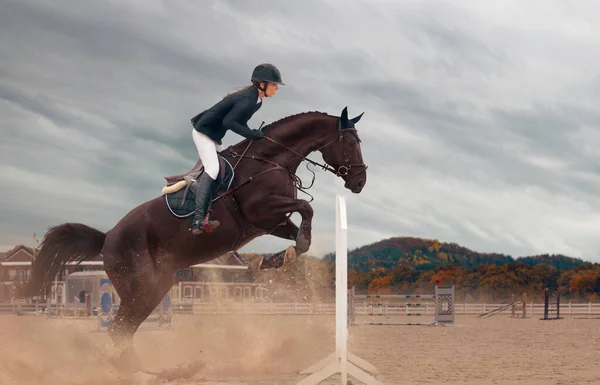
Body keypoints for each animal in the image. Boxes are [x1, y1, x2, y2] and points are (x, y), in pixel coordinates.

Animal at [16, 106, 368, 344]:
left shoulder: (269, 222)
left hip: (151, 289)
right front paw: (292, 250)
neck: (271, 159)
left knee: (124, 330)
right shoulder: (261, 210)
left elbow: (297, 229)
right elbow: (306, 209)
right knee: (119, 329)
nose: (360, 182)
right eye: (350, 143)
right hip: (145, 286)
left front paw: (275, 260)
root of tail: (107, 238)